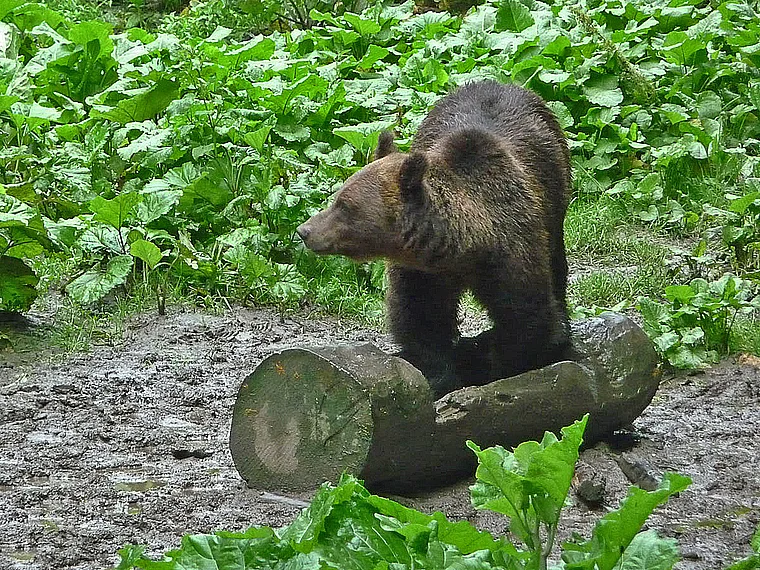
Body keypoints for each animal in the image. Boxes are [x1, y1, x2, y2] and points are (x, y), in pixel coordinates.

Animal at [297, 80, 572, 397]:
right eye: (337, 197)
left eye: (344, 205)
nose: (305, 231)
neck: (463, 251)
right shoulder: (420, 273)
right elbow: (421, 318)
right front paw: (439, 374)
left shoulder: (510, 252)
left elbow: (524, 314)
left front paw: (503, 366)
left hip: (557, 192)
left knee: (556, 263)